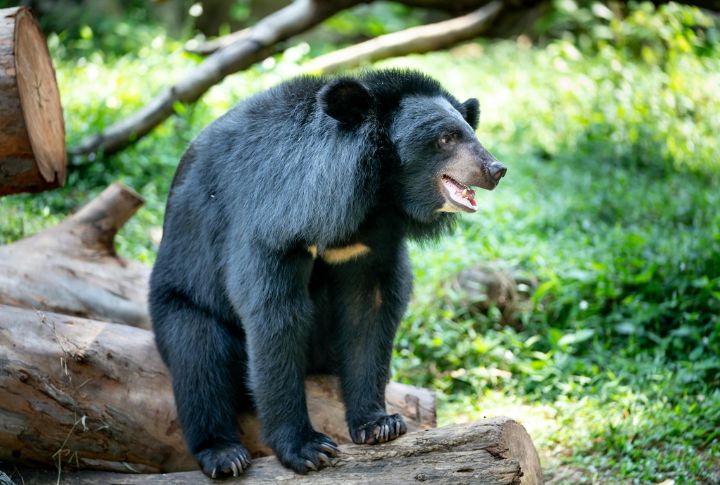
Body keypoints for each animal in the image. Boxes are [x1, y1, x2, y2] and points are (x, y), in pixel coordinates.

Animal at [148, 69, 506, 478]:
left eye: (470, 132)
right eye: (446, 138)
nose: (496, 170)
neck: (372, 195)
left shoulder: (371, 242)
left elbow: (370, 310)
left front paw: (379, 424)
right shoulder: (269, 223)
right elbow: (274, 315)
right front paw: (307, 448)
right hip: (179, 298)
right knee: (198, 355)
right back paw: (224, 454)